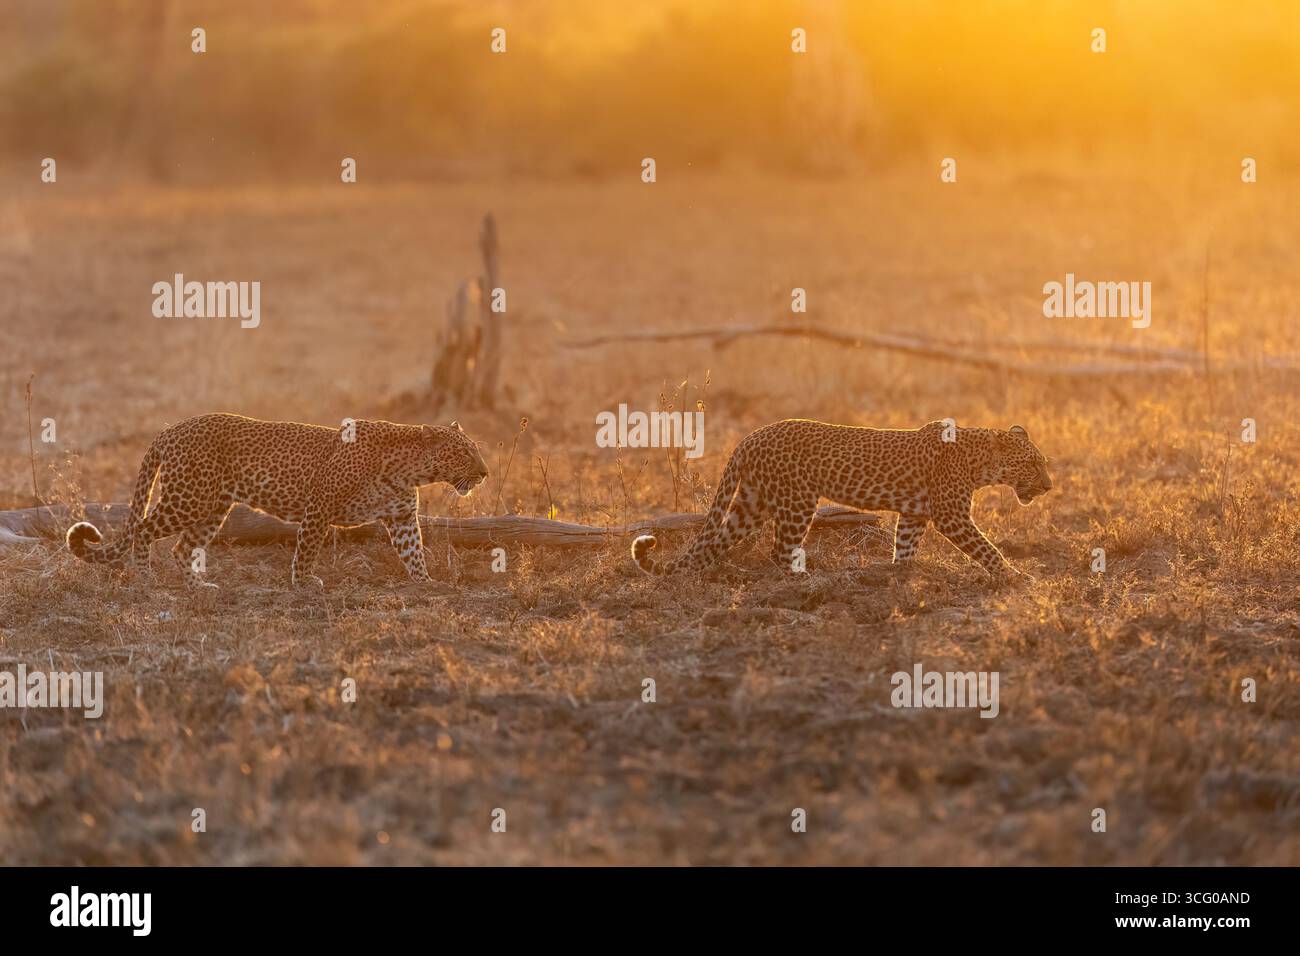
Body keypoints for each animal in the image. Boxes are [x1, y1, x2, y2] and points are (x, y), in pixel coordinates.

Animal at [66, 413, 488, 589]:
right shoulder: (319, 505)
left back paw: (198, 586)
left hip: (213, 508)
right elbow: (307, 548)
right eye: (464, 453)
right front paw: (303, 582)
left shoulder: (401, 517)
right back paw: (144, 575)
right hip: (188, 499)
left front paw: (427, 582)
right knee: (141, 528)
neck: (409, 468)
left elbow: (413, 551)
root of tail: (169, 430)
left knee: (183, 547)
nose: (485, 472)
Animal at [633, 419, 1052, 579]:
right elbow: (987, 549)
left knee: (714, 542)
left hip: (751, 502)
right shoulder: (952, 516)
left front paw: (900, 573)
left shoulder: (914, 514)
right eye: (1033, 463)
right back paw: (804, 580)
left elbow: (905, 546)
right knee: (778, 550)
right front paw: (1016, 577)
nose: (1049, 486)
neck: (979, 461)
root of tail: (750, 437)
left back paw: (706, 574)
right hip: (797, 501)